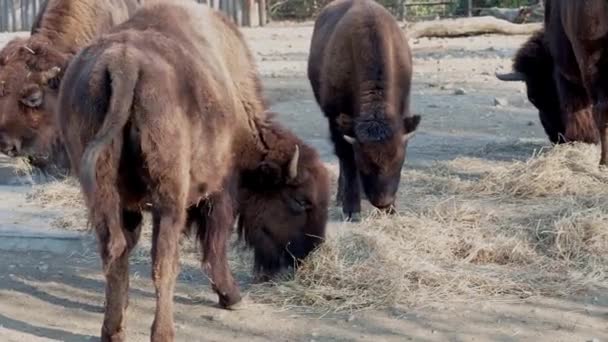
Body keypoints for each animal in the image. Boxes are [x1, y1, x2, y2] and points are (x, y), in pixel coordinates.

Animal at [58, 2, 328, 340]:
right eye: (301, 201)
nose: (304, 257)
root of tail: (124, 64)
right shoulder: (222, 191)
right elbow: (215, 244)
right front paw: (232, 297)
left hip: (103, 191)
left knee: (114, 251)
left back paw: (114, 330)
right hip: (169, 197)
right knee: (163, 261)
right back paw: (163, 332)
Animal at [306, 0, 420, 220]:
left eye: (399, 160)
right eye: (364, 164)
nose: (383, 202)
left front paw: (393, 209)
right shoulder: (336, 118)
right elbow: (346, 160)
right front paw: (351, 209)